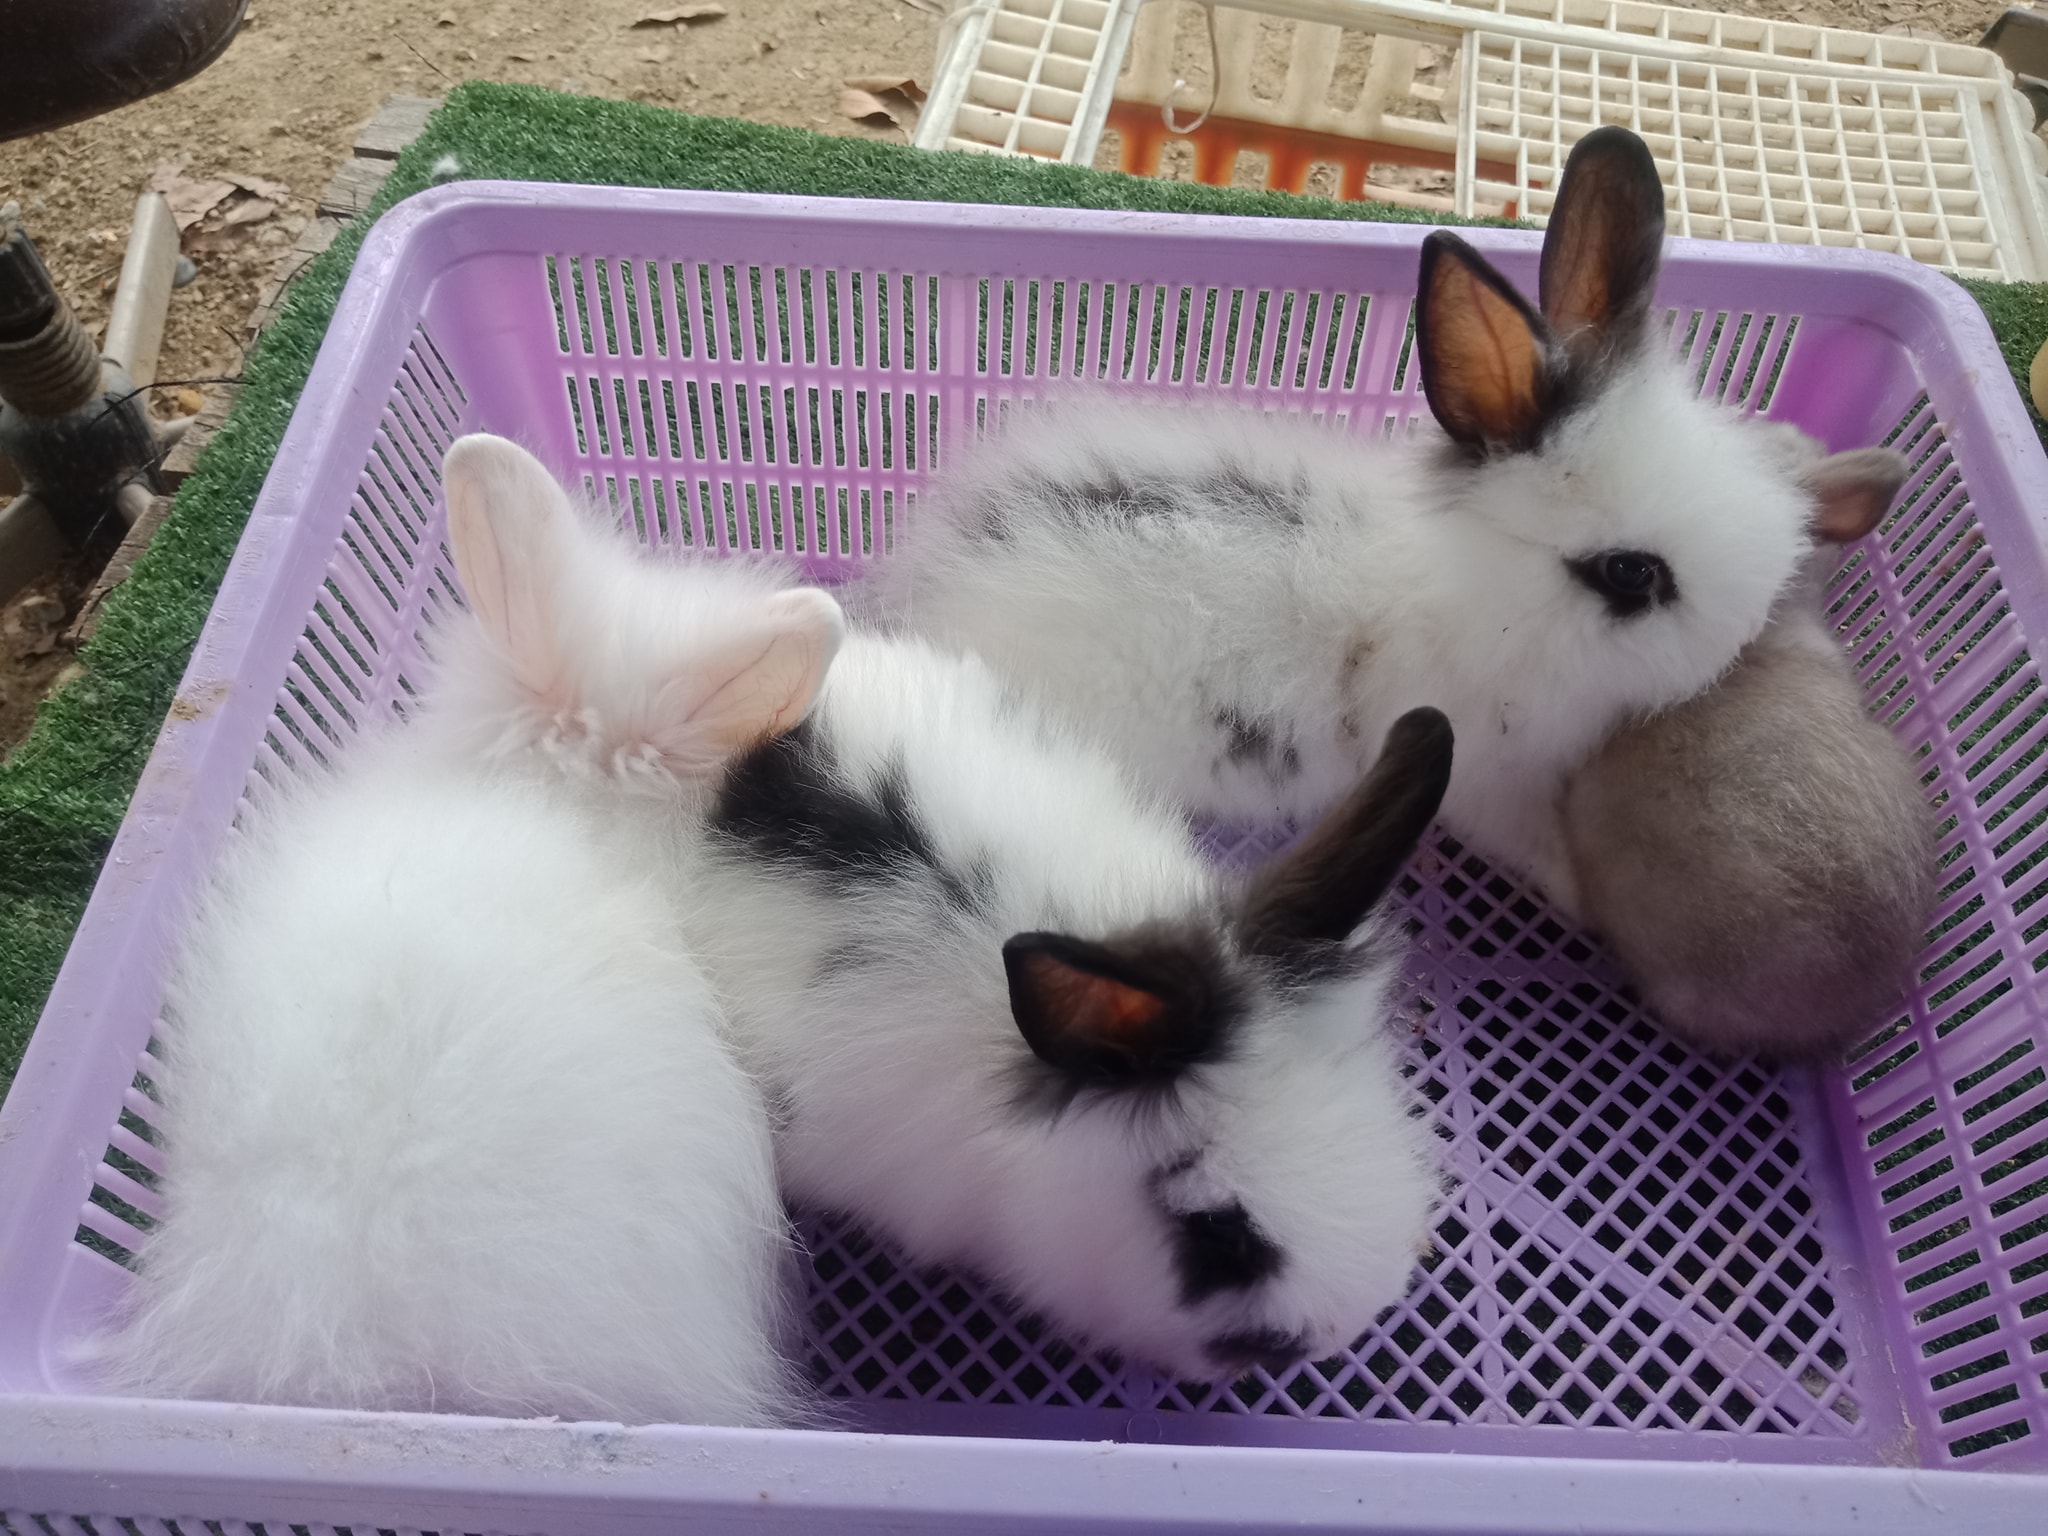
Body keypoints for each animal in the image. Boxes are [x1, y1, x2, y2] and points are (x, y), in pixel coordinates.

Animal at [861, 126, 1904, 916]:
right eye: (1630, 574)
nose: (1739, 636)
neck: (1484, 593)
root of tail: (928, 596)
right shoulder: (1488, 782)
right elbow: (1536, 844)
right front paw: (1584, 896)